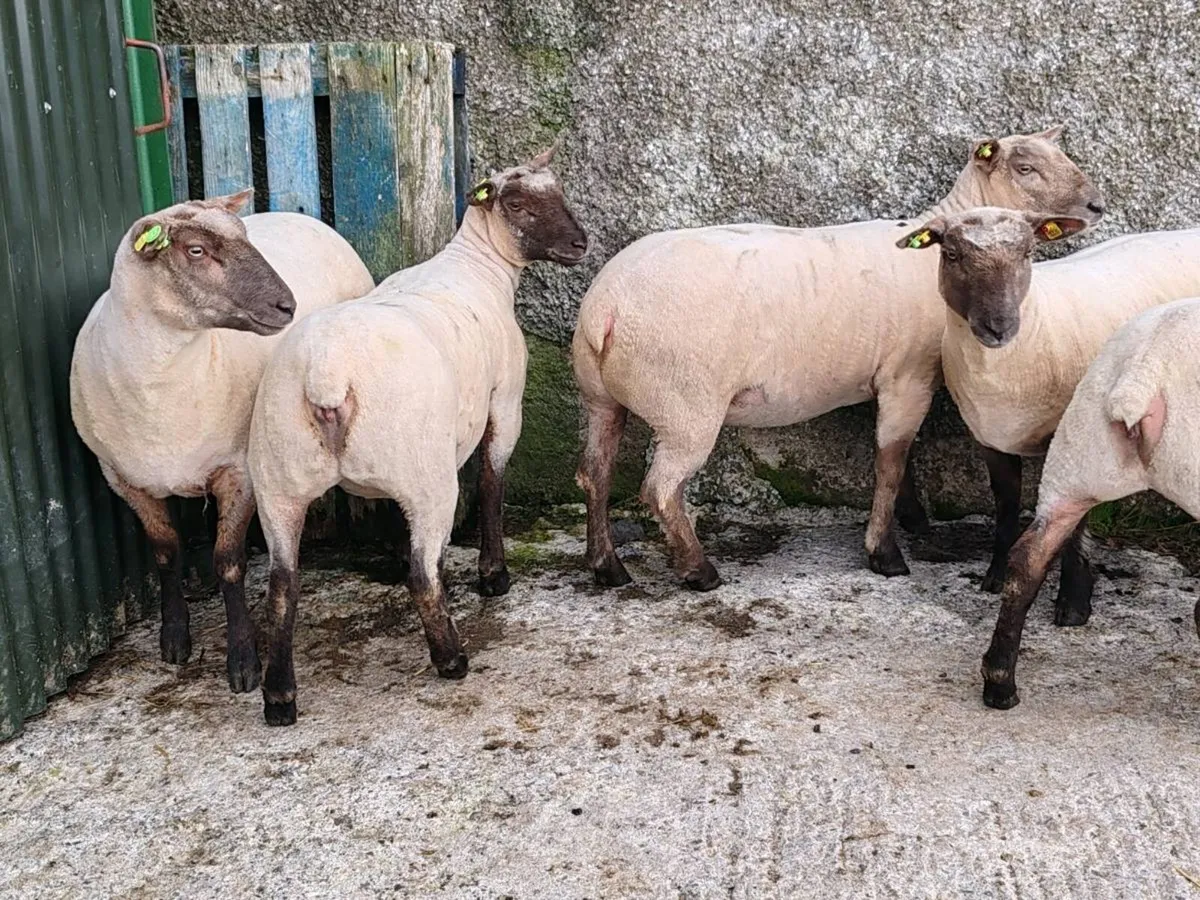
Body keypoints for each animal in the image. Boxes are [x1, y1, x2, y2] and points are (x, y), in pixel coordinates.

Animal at [70, 191, 374, 693]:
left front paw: (243, 660)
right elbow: (165, 552)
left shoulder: (239, 471)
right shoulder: (123, 480)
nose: (286, 305)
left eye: (245, 237)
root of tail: (298, 215)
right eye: (195, 250)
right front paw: (174, 637)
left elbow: (229, 562)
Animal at [246, 147, 588, 726]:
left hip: (278, 478)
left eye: (561, 192)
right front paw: (493, 576)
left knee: (282, 587)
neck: (479, 266)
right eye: (517, 204)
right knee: (423, 574)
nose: (580, 245)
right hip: (427, 476)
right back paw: (451, 657)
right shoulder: (505, 402)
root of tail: (325, 375)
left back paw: (279, 697)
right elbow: (493, 483)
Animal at [573, 126, 1104, 590]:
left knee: (594, 474)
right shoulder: (907, 374)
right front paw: (885, 554)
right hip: (686, 404)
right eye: (1026, 167)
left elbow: (900, 458)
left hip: (601, 397)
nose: (1097, 205)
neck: (929, 246)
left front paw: (911, 519)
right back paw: (698, 571)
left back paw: (608, 567)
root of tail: (605, 309)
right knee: (661, 489)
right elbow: (889, 461)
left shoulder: (888, 380)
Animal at [898, 207, 1200, 626]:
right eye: (952, 255)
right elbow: (1006, 503)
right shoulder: (990, 437)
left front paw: (1072, 602)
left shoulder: (1070, 439)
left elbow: (1075, 527)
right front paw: (995, 574)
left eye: (1028, 252)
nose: (999, 327)